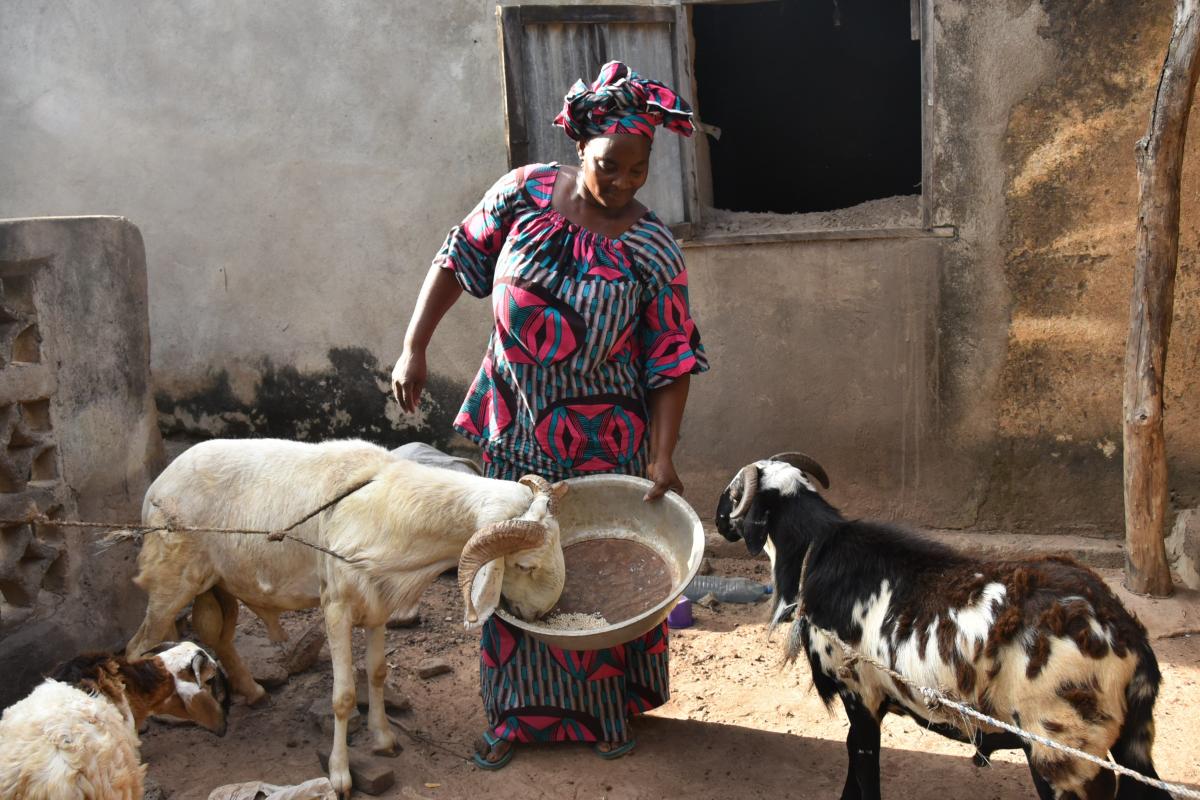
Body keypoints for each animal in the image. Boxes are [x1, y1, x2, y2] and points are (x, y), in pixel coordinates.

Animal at [124, 441, 564, 796]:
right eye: (524, 565)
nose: (542, 613)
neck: (388, 505)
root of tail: (155, 485)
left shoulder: (378, 604)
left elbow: (377, 674)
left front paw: (384, 739)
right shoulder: (335, 607)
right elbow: (344, 696)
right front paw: (340, 775)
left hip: (219, 583)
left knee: (219, 636)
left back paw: (253, 692)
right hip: (170, 583)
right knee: (137, 647)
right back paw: (141, 727)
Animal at [715, 455, 1166, 800]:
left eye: (733, 493)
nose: (718, 520)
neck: (815, 551)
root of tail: (1125, 633)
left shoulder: (860, 694)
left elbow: (862, 765)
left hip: (1062, 753)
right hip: (1128, 745)